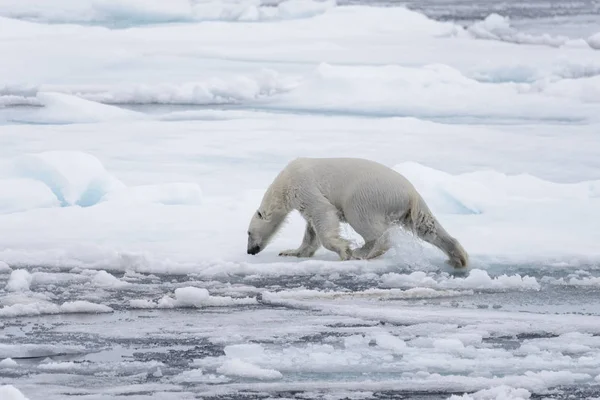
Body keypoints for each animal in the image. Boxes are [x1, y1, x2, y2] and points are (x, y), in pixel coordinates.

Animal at [245, 158, 468, 268]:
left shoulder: (304, 186)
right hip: (409, 208)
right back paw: (457, 257)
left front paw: (344, 250)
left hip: (367, 196)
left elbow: (323, 212)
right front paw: (292, 252)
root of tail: (410, 193)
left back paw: (362, 251)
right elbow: (311, 230)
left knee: (366, 223)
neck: (283, 183)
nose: (250, 251)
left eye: (248, 233)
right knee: (427, 226)